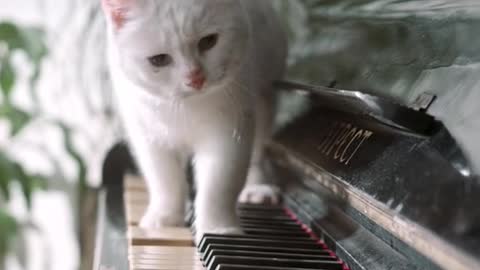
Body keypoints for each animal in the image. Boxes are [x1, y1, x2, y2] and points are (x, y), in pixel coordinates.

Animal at [101, 0, 286, 240]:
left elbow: (219, 185)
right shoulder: (148, 137)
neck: (185, 107)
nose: (195, 78)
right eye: (158, 60)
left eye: (208, 41)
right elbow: (164, 180)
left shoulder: (228, 132)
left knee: (257, 154)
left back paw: (257, 189)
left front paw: (218, 230)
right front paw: (164, 218)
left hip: (264, 100)